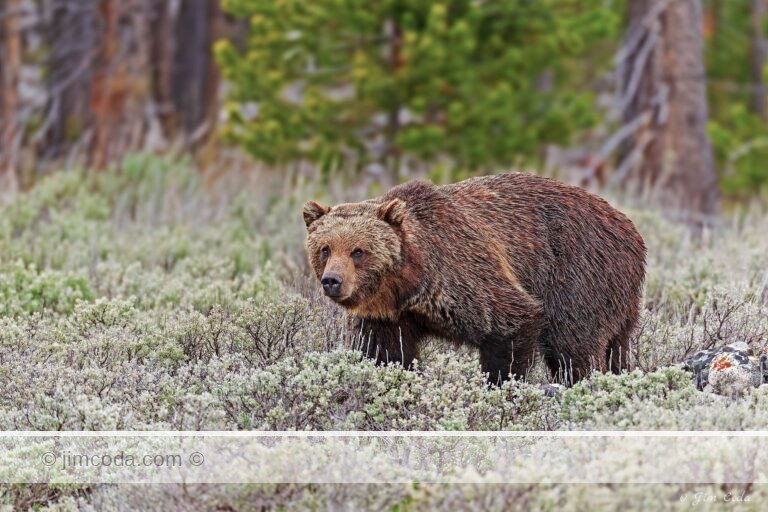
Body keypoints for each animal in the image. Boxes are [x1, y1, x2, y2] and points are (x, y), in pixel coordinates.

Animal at [303, 172, 646, 385]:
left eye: (358, 251)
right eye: (325, 249)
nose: (332, 281)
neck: (408, 283)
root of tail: (631, 228)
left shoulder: (463, 273)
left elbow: (511, 323)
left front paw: (499, 385)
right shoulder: (387, 315)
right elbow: (385, 353)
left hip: (579, 275)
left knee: (574, 346)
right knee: (617, 347)